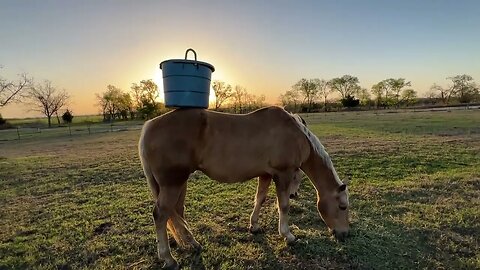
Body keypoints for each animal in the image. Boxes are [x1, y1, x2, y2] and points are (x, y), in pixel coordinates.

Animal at [138, 106, 348, 268]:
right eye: (342, 207)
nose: (344, 235)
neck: (295, 134)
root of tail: (149, 126)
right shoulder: (283, 174)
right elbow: (283, 205)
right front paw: (287, 235)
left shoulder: (266, 174)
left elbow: (260, 199)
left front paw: (254, 226)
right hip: (172, 184)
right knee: (161, 215)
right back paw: (168, 258)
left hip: (180, 183)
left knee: (177, 212)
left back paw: (191, 243)